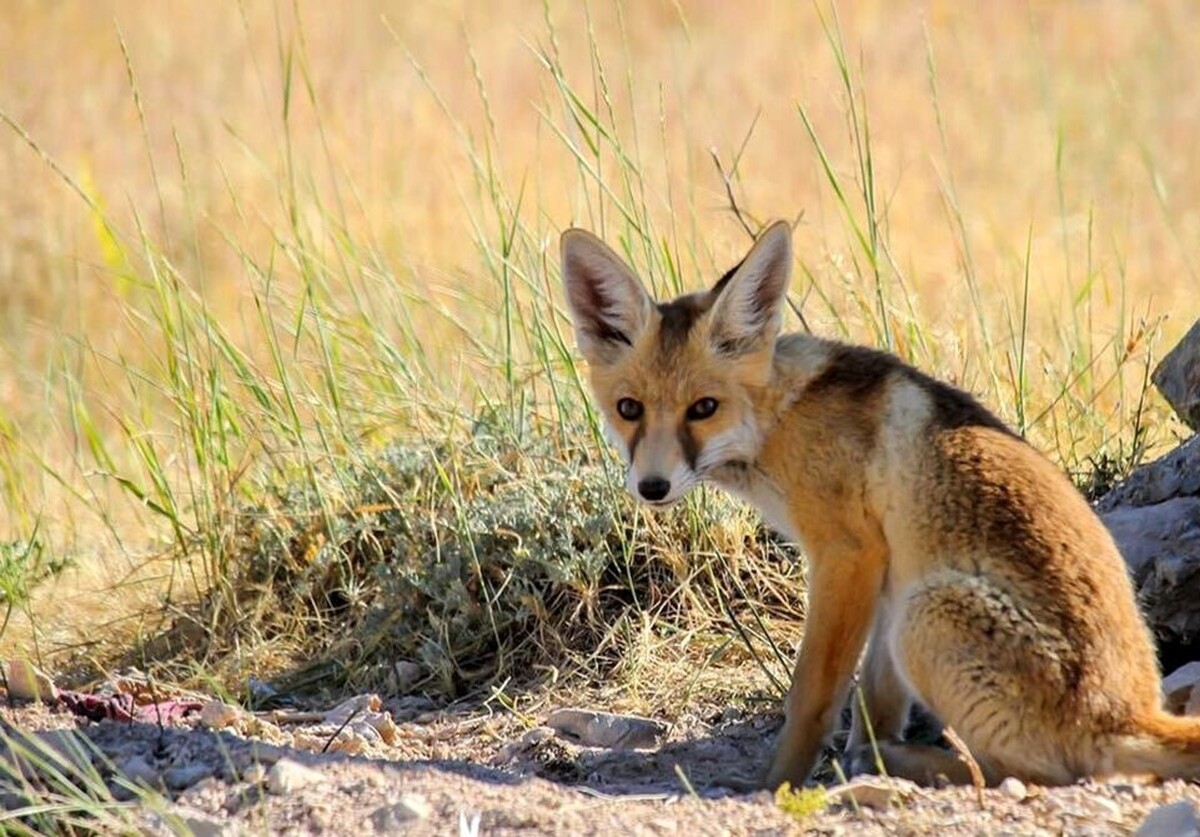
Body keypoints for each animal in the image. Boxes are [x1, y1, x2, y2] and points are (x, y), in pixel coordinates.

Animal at [556, 218, 1200, 786]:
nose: (653, 487)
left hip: (926, 614)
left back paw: (905, 765)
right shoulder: (885, 574)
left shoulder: (847, 555)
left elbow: (811, 695)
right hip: (910, 614)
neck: (780, 420)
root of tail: (1128, 714)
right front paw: (848, 756)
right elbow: (872, 703)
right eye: (629, 409)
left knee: (1021, 773)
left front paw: (774, 783)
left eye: (703, 408)